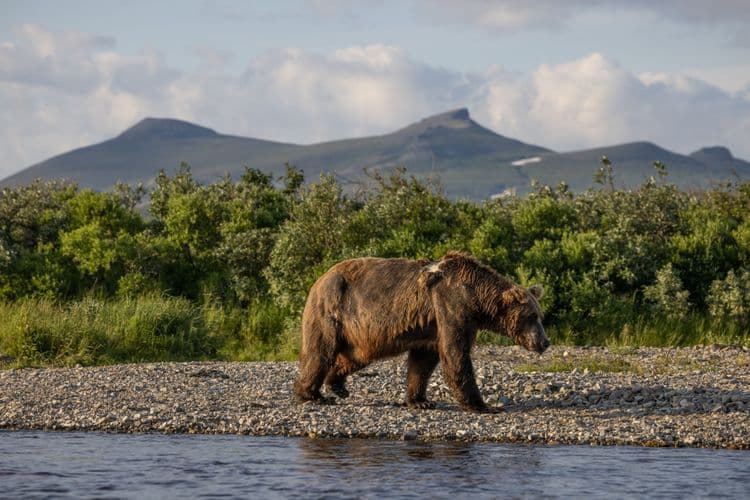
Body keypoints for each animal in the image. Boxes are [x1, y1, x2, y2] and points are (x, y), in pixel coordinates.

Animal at [293, 251, 548, 412]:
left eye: (539, 314)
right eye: (532, 316)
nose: (545, 342)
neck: (476, 298)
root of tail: (319, 279)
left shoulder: (431, 325)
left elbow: (423, 362)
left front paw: (421, 401)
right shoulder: (451, 305)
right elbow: (456, 353)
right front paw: (483, 405)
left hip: (359, 332)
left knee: (355, 357)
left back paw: (337, 385)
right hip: (331, 309)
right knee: (321, 351)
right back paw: (311, 394)